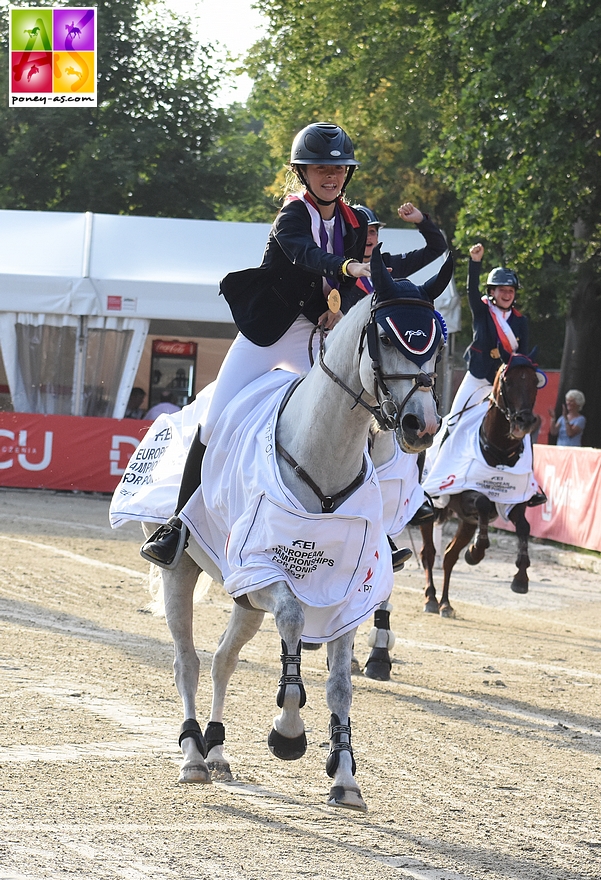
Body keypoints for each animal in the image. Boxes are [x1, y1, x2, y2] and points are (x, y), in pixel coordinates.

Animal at [130, 248, 450, 812]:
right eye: (387, 337)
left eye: (438, 340)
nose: (422, 425)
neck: (324, 459)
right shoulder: (263, 570)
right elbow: (295, 620)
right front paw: (288, 732)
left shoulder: (350, 589)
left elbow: (340, 685)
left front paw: (344, 777)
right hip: (182, 572)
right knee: (187, 661)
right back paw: (193, 757)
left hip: (241, 598)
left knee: (222, 660)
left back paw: (217, 751)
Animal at [420, 352, 540, 620]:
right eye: (508, 381)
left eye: (535, 382)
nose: (524, 421)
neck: (501, 453)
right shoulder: (467, 497)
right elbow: (484, 501)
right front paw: (476, 552)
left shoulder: (512, 501)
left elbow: (524, 527)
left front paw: (521, 578)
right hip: (429, 512)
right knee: (429, 553)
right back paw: (431, 598)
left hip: (466, 522)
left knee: (449, 557)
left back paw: (446, 603)